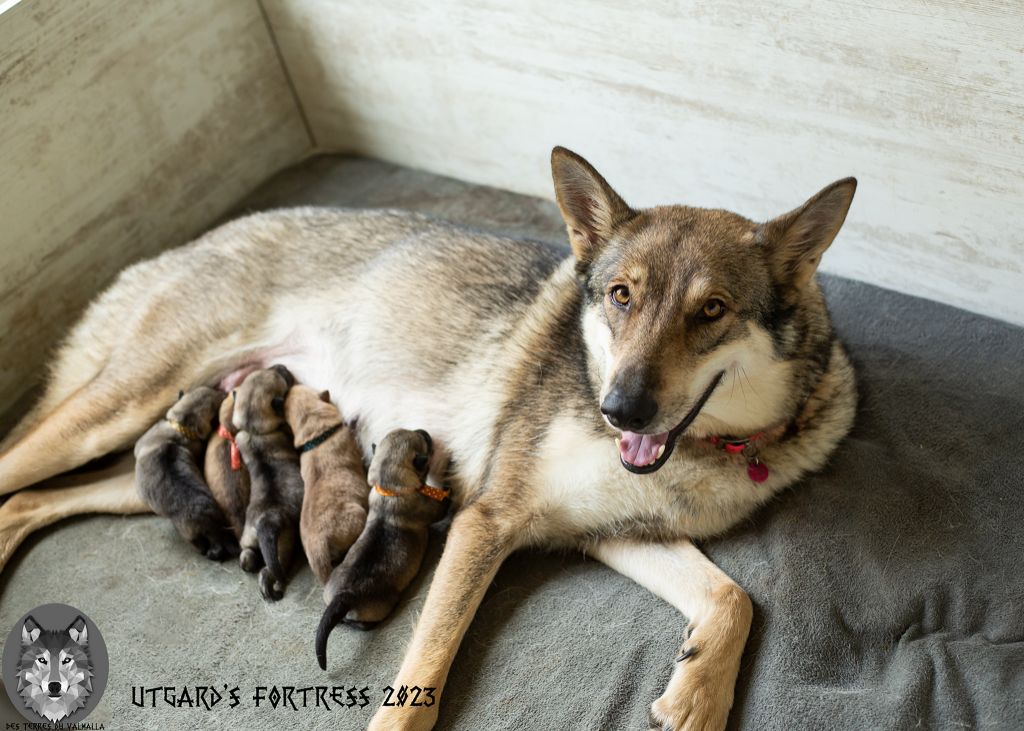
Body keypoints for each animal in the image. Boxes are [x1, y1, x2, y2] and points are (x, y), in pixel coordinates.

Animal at [229, 364, 299, 597]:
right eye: (281, 377)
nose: (282, 366)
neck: (254, 430)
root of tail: (264, 523)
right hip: (283, 547)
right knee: (271, 569)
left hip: (248, 538)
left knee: (247, 557)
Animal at [313, 423, 446, 667]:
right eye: (424, 442)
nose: (423, 430)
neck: (388, 489)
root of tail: (343, 596)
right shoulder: (433, 507)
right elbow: (445, 504)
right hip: (385, 604)